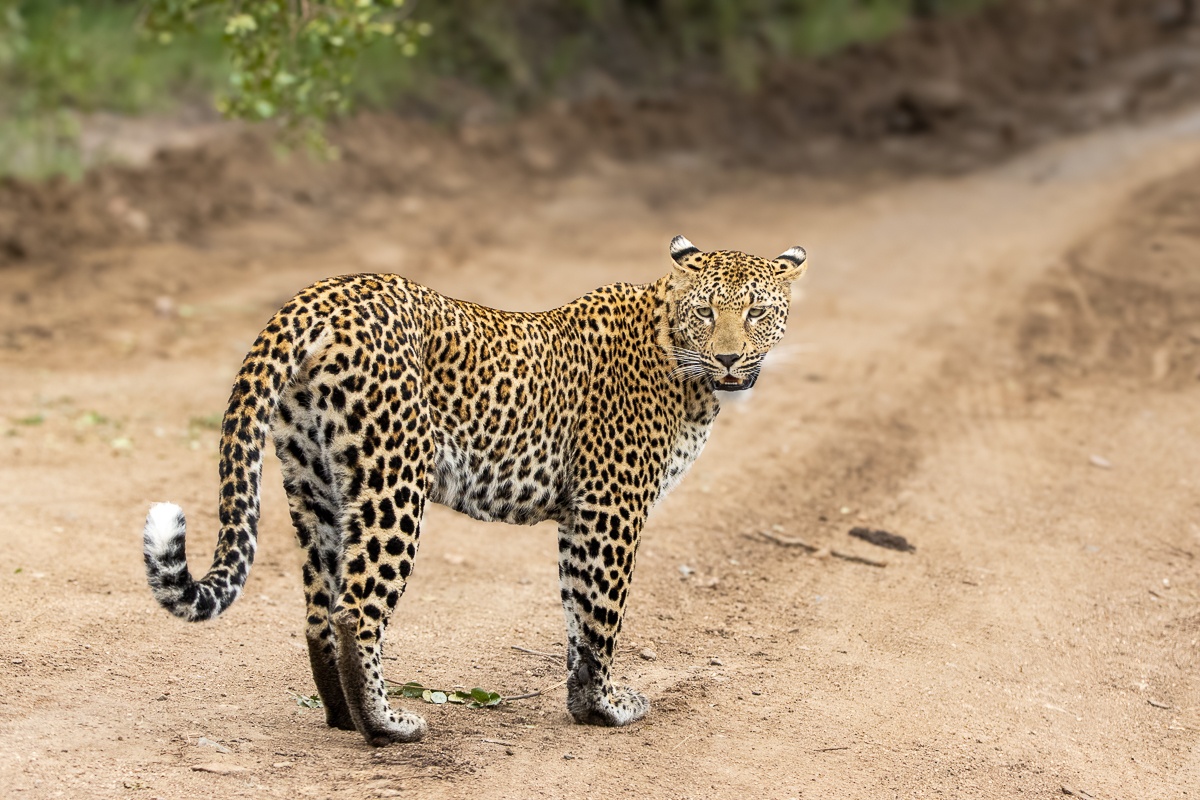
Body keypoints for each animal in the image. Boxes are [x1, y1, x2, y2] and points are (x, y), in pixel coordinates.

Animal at [142, 235, 808, 746]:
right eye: (707, 312)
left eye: (755, 313)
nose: (729, 358)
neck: (679, 359)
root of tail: (320, 294)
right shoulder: (611, 507)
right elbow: (601, 616)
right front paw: (606, 707)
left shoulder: (581, 516)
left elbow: (575, 613)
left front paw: (582, 703)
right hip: (394, 482)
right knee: (356, 610)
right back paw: (387, 726)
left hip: (315, 488)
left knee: (318, 611)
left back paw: (341, 717)